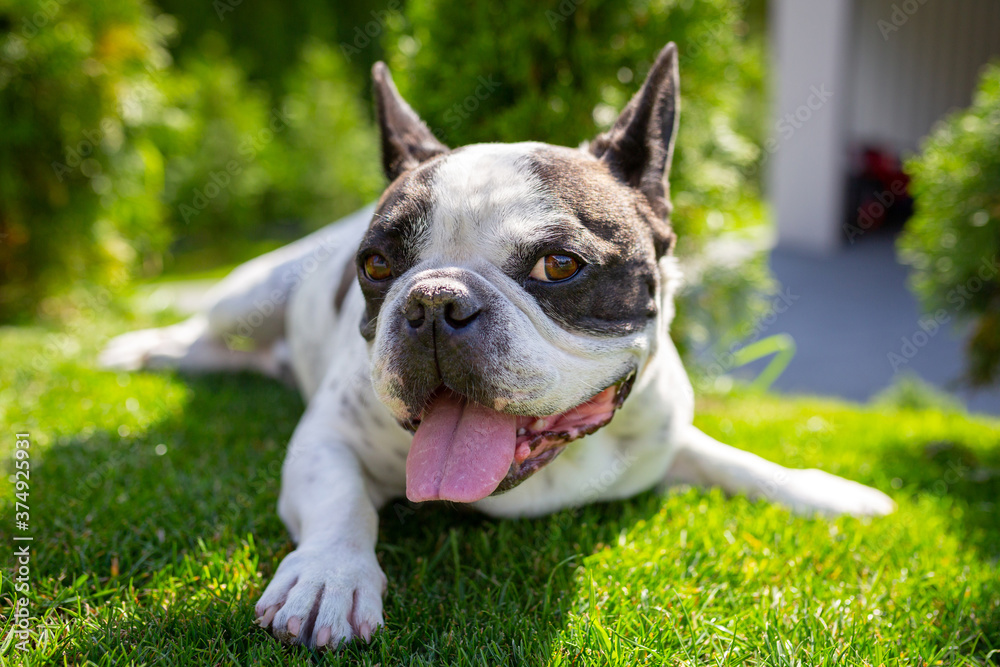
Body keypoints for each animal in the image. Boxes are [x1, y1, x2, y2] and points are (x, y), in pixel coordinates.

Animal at [101, 44, 896, 648]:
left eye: (560, 266)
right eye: (378, 266)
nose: (432, 301)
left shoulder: (667, 437)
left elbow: (736, 460)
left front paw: (822, 490)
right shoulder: (325, 438)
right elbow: (339, 499)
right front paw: (330, 575)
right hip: (249, 296)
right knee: (200, 334)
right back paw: (135, 349)